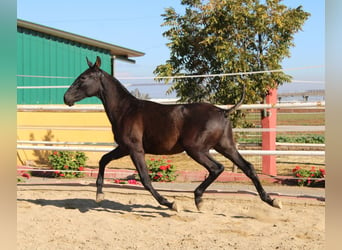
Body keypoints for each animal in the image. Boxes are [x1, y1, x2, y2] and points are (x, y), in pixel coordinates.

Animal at [63, 56, 280, 211]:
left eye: (83, 78)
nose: (66, 98)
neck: (126, 110)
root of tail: (223, 111)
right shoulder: (124, 148)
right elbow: (103, 160)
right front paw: (99, 195)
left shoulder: (135, 149)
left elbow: (145, 178)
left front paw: (170, 203)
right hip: (225, 146)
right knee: (248, 167)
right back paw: (271, 200)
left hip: (196, 149)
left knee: (216, 168)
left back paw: (198, 199)